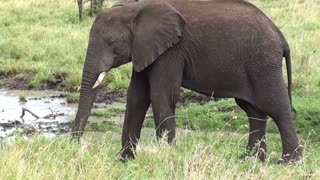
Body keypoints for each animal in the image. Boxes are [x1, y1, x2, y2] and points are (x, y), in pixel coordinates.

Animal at [72, 0, 302, 163]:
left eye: (110, 42)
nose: (75, 146)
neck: (136, 8)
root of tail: (281, 37)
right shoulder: (146, 49)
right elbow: (137, 98)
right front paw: (124, 161)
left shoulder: (171, 51)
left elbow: (161, 96)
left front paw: (166, 157)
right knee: (254, 111)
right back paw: (249, 159)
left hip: (263, 64)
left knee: (277, 108)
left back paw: (288, 162)